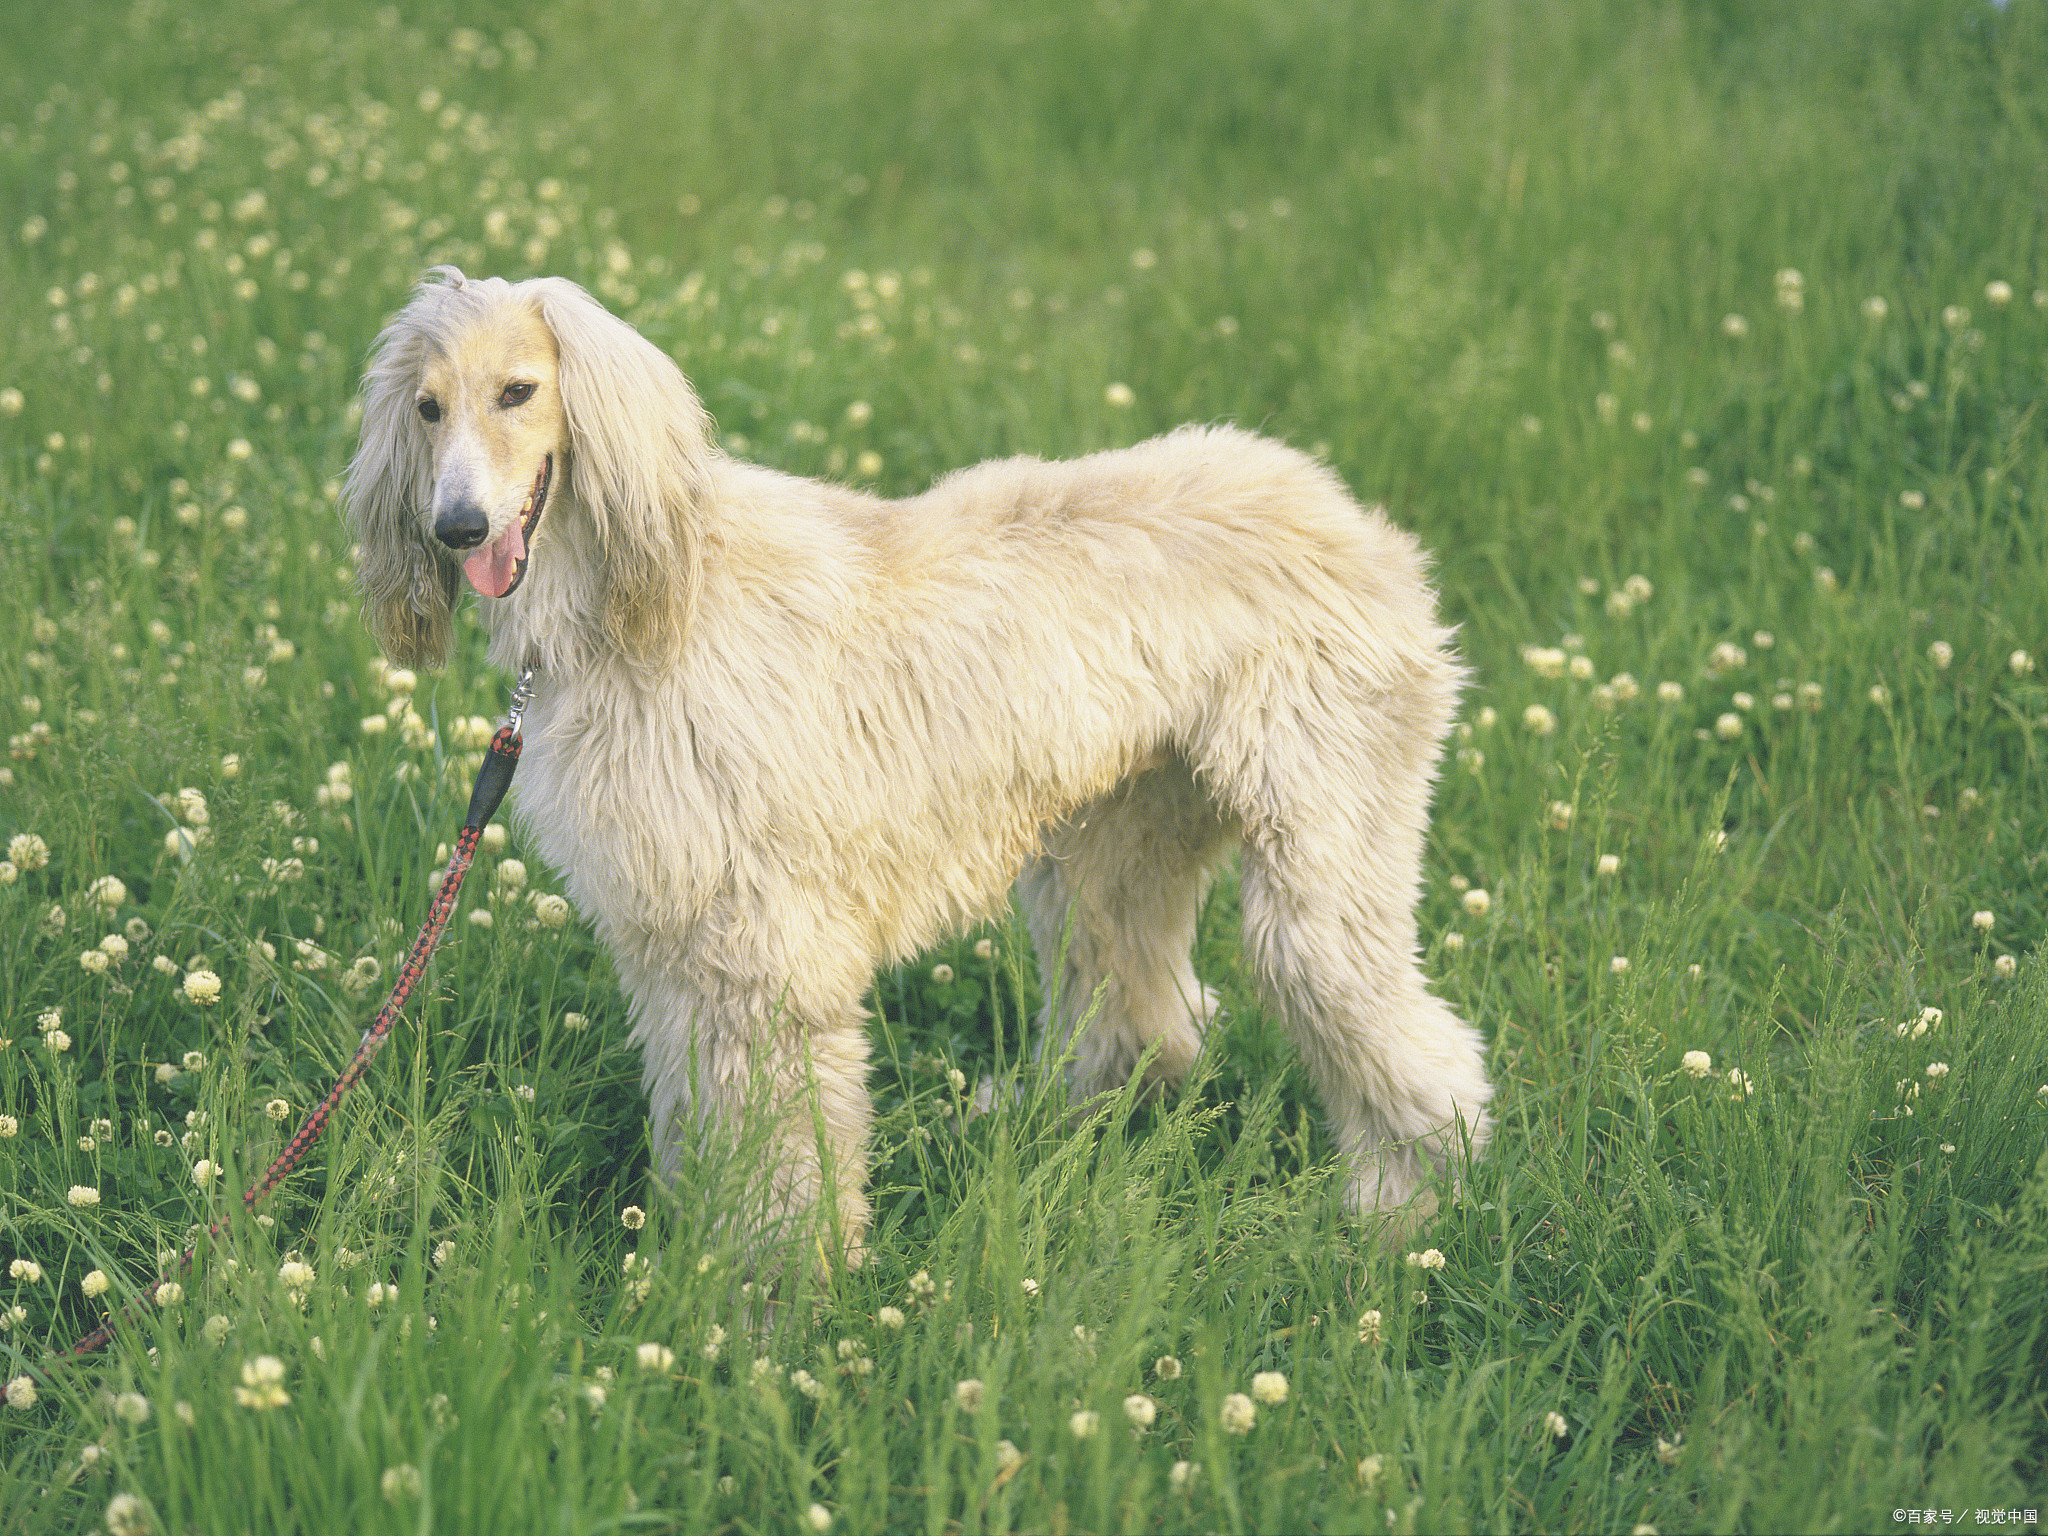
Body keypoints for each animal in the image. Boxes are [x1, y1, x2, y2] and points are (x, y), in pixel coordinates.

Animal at [335, 268, 1490, 1261]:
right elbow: (697, 1115)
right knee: (1144, 1018)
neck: (650, 603)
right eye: (428, 408)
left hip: (1322, 828)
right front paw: (695, 1257)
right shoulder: (678, 939)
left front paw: (783, 1293)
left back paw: (1407, 1205)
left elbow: (785, 1150)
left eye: (519, 390)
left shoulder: (769, 947)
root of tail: (1349, 517)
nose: (457, 527)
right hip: (1118, 837)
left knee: (1378, 1019)